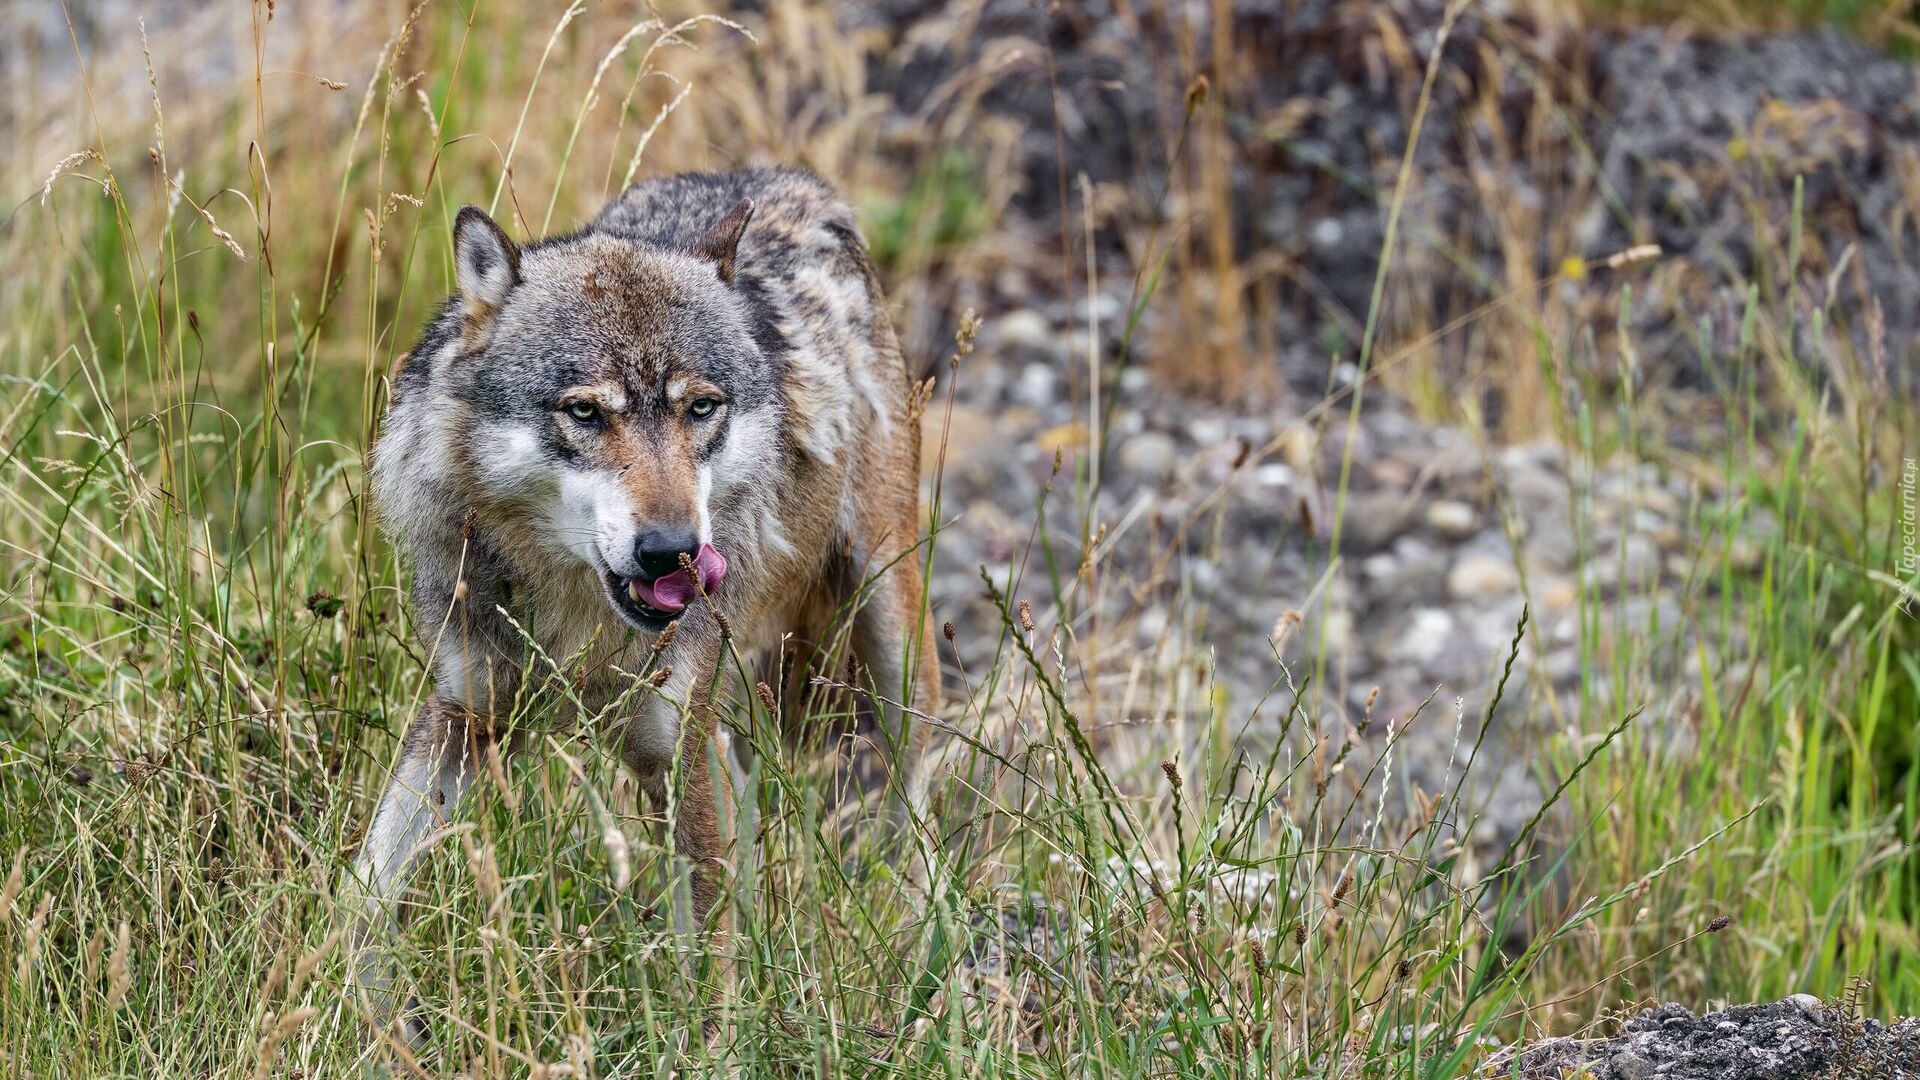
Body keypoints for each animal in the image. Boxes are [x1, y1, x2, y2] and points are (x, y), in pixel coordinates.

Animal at [353, 164, 944, 1030]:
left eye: (700, 408)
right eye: (585, 412)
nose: (675, 552)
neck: (582, 627)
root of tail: (788, 180)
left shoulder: (678, 748)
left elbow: (710, 967)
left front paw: (714, 1043)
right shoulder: (468, 713)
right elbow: (363, 889)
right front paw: (359, 1017)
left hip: (889, 637)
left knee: (915, 803)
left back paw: (925, 948)